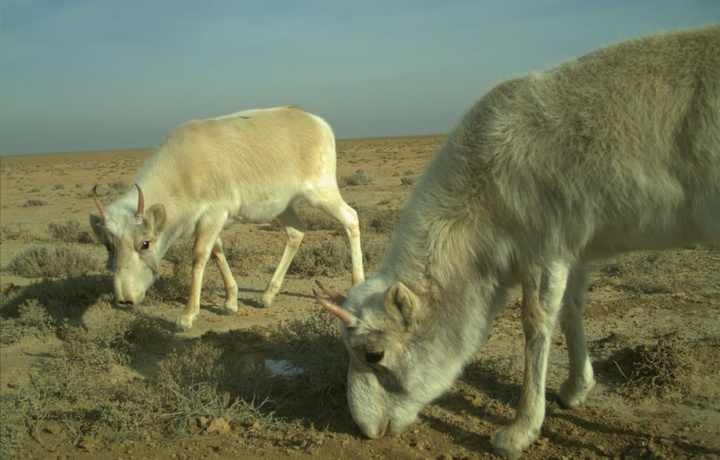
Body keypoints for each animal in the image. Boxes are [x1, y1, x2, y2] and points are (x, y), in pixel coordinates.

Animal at [93, 105, 366, 330]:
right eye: (108, 245)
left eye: (145, 243)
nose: (125, 300)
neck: (181, 172)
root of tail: (318, 123)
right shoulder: (209, 221)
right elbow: (217, 251)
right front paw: (230, 302)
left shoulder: (213, 214)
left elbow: (200, 255)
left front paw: (187, 317)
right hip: (283, 206)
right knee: (297, 231)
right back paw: (267, 295)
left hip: (321, 191)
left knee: (351, 218)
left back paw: (356, 285)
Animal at [316, 25, 720, 456]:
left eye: (374, 354)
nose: (366, 429)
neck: (482, 184)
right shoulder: (574, 250)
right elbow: (572, 308)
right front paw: (575, 389)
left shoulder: (545, 249)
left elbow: (537, 321)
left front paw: (519, 431)